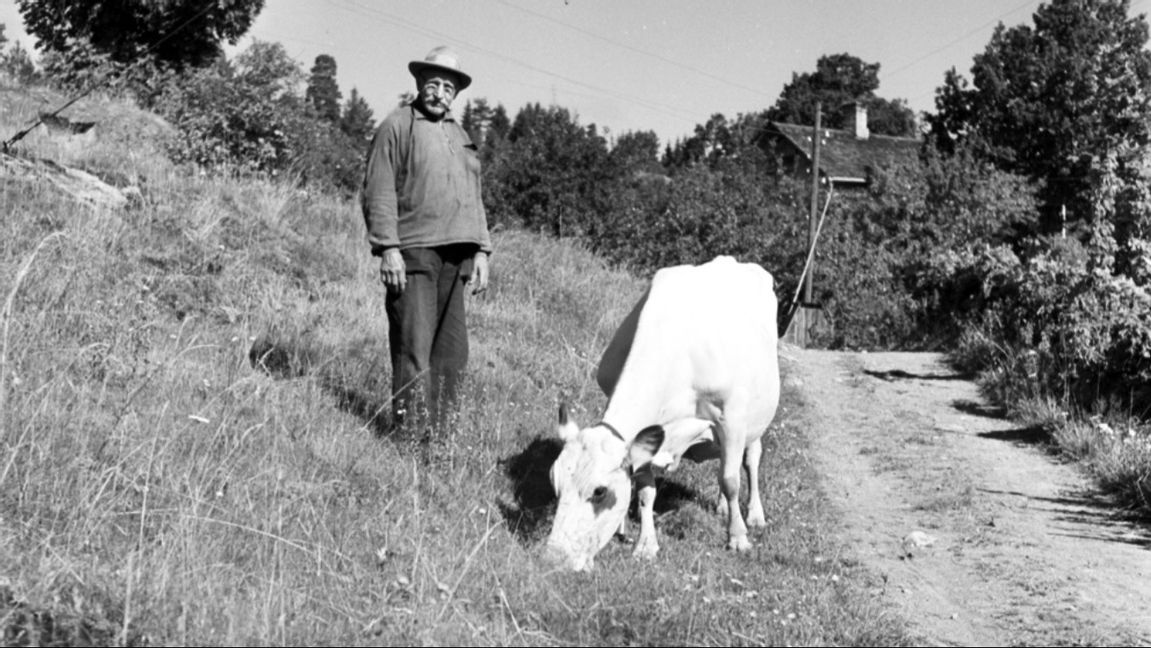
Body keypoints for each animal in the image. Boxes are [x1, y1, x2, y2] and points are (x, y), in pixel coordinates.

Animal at [540, 256, 778, 570]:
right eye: (553, 481)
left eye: (600, 491)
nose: (554, 559)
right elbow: (645, 490)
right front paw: (646, 544)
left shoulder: (733, 417)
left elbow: (730, 480)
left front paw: (738, 538)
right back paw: (721, 507)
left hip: (756, 419)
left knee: (750, 460)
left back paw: (753, 514)